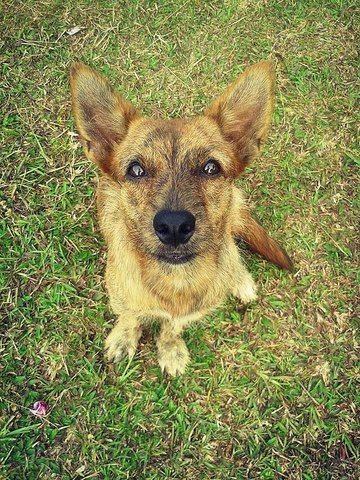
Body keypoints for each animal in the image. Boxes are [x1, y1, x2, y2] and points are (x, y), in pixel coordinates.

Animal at [70, 59, 292, 376]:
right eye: (136, 170)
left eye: (211, 168)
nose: (174, 226)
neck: (175, 281)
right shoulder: (122, 299)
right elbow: (130, 316)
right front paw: (124, 338)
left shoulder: (187, 314)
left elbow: (172, 328)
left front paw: (170, 349)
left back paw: (239, 279)